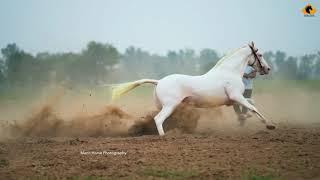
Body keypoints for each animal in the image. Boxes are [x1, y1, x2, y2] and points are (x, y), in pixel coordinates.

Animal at [111, 42, 274, 135]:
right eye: (260, 54)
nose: (267, 69)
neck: (229, 72)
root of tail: (159, 82)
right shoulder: (236, 97)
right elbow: (253, 107)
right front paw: (269, 125)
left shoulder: (234, 100)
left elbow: (251, 103)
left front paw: (246, 117)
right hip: (170, 105)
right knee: (158, 119)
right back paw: (164, 136)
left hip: (163, 106)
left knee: (155, 118)